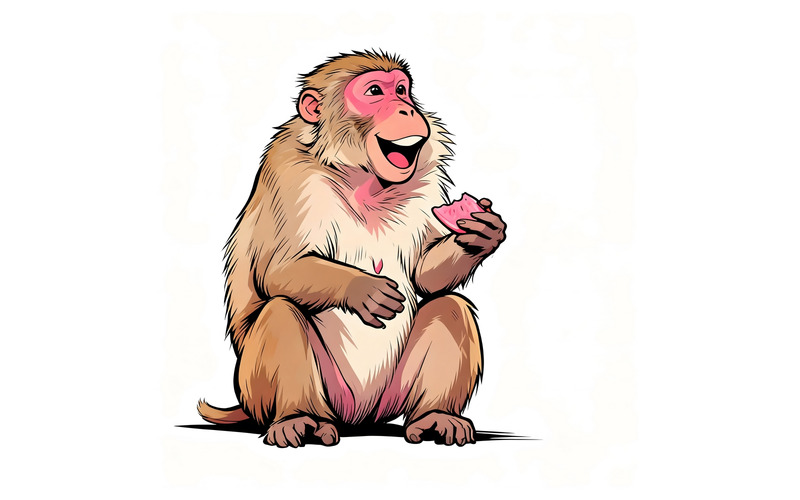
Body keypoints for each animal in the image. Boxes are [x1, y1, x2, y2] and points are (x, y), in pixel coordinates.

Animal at [198, 51, 507, 447]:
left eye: (402, 90)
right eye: (374, 91)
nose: (407, 109)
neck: (364, 181)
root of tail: (358, 418)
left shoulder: (425, 181)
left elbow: (426, 277)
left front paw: (482, 235)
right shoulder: (291, 174)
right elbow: (278, 270)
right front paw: (363, 289)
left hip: (392, 396)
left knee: (451, 306)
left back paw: (435, 416)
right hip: (271, 391)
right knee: (281, 310)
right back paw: (299, 418)